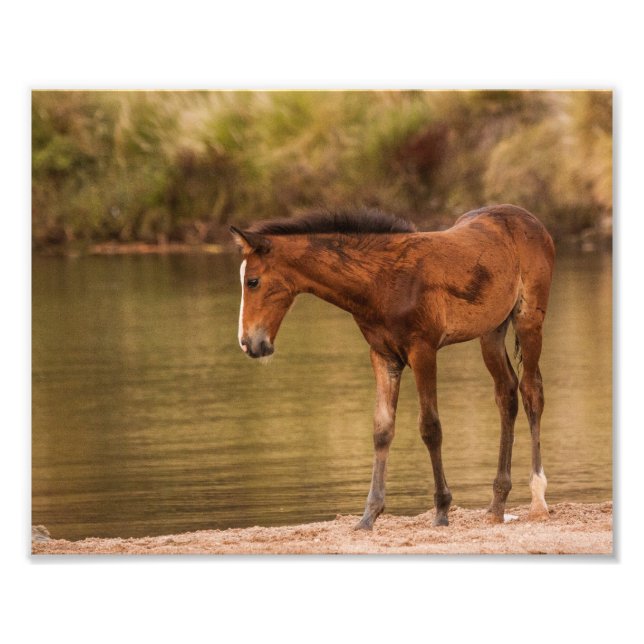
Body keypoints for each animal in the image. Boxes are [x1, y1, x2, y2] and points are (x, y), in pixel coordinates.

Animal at [230, 204, 555, 529]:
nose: (249, 343)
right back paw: (497, 504)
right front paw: (369, 515)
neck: (381, 280)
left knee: (531, 392)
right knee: (506, 394)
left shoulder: (423, 351)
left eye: (253, 281)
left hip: (529, 320)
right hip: (491, 331)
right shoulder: (383, 355)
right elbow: (382, 429)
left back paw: (538, 499)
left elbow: (430, 427)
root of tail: (529, 219)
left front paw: (441, 510)